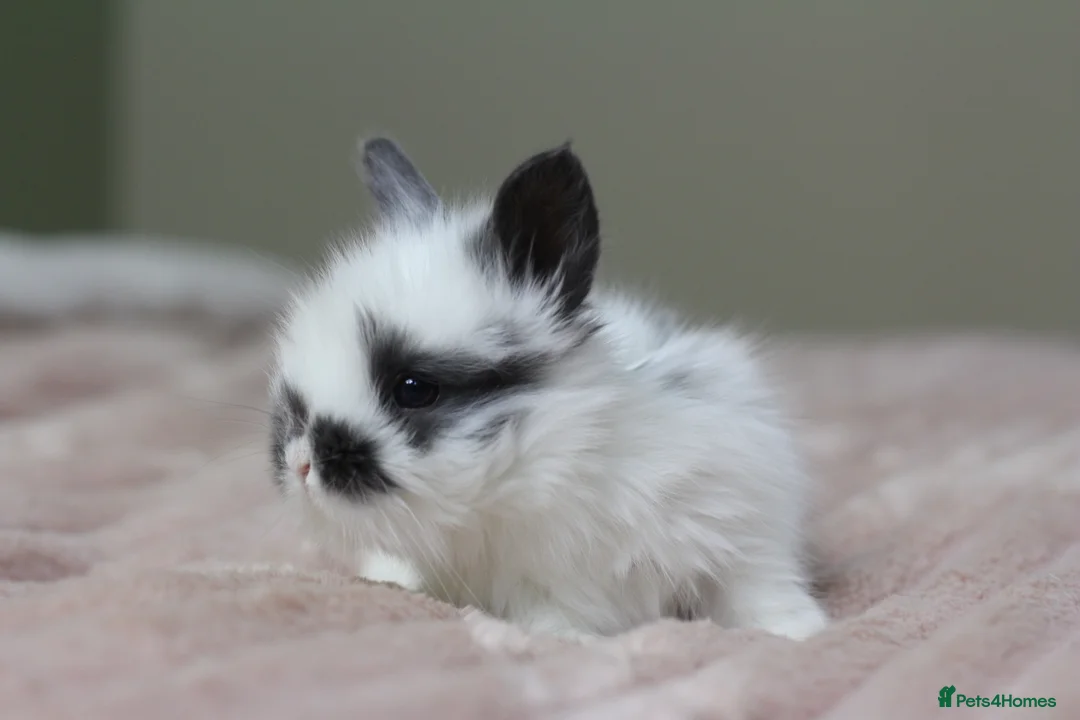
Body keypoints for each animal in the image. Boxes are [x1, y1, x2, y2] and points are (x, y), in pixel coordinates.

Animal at [268, 137, 828, 641]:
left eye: (413, 388)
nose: (301, 462)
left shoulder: (741, 535)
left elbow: (758, 592)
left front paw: (800, 633)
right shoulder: (533, 591)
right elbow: (553, 623)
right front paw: (571, 643)